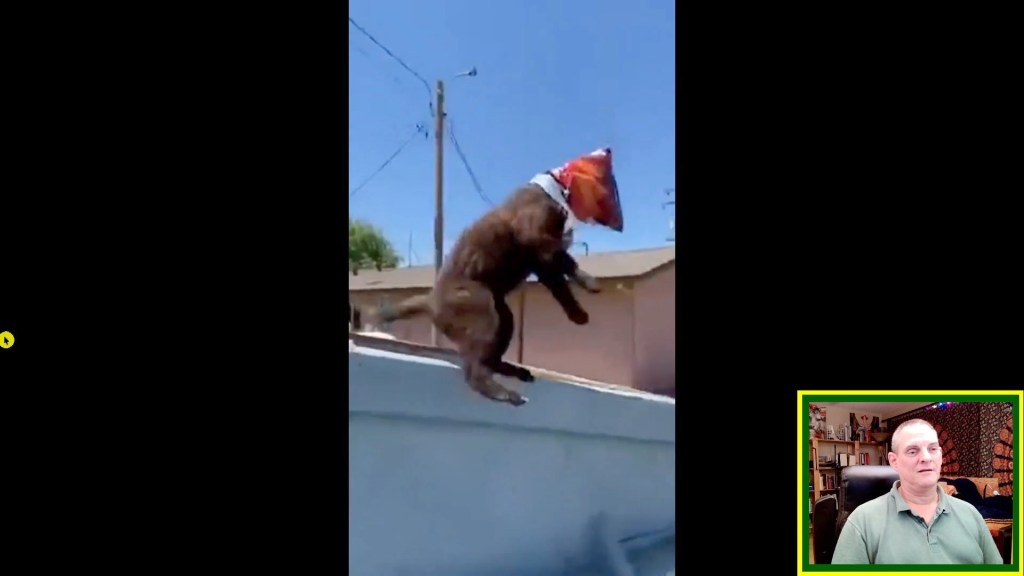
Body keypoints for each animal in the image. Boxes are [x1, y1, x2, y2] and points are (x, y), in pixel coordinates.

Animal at [371, 147, 624, 406]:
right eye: (609, 184)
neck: (558, 191)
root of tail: (431, 300)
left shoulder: (545, 258)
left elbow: (565, 275)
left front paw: (583, 297)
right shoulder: (540, 245)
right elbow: (564, 274)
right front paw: (583, 300)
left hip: (504, 317)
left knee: (489, 360)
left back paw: (517, 371)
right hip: (483, 312)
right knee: (473, 370)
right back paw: (503, 393)